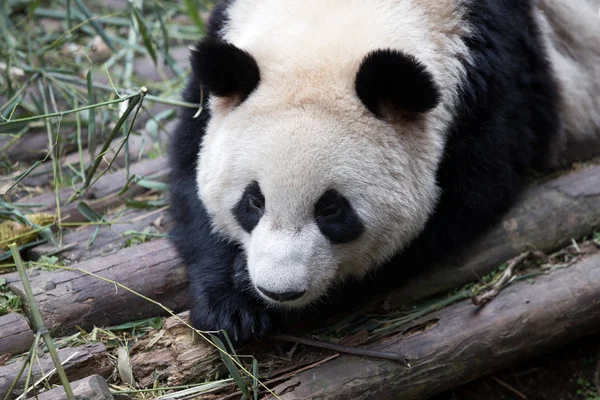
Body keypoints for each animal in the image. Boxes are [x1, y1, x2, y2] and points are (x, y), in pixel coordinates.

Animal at [168, 1, 600, 342]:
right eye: (253, 201)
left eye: (331, 209)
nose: (280, 291)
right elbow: (188, 167)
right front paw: (231, 307)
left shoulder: (492, 79)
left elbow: (468, 200)